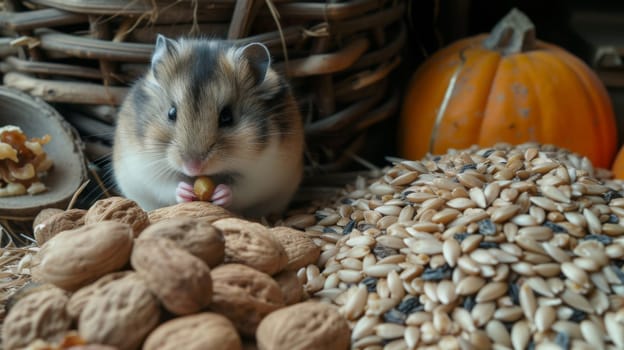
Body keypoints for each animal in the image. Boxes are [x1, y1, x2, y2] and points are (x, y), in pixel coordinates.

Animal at [114, 34, 308, 216]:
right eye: (171, 113)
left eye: (227, 117)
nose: (193, 167)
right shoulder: (147, 168)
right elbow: (167, 185)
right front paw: (184, 191)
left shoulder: (261, 174)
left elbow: (239, 190)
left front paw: (222, 193)